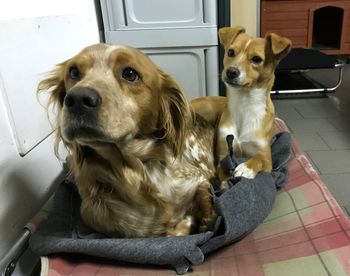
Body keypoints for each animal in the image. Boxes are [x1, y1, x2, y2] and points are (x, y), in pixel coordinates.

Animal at [39, 43, 217, 237]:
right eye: (73, 72)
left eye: (130, 74)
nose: (77, 98)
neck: (133, 171)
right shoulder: (99, 218)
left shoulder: (199, 178)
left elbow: (204, 208)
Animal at [200, 27, 292, 180]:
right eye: (231, 52)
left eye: (256, 59)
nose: (231, 71)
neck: (244, 103)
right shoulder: (223, 155)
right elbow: (224, 174)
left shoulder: (267, 160)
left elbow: (259, 159)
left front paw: (246, 168)